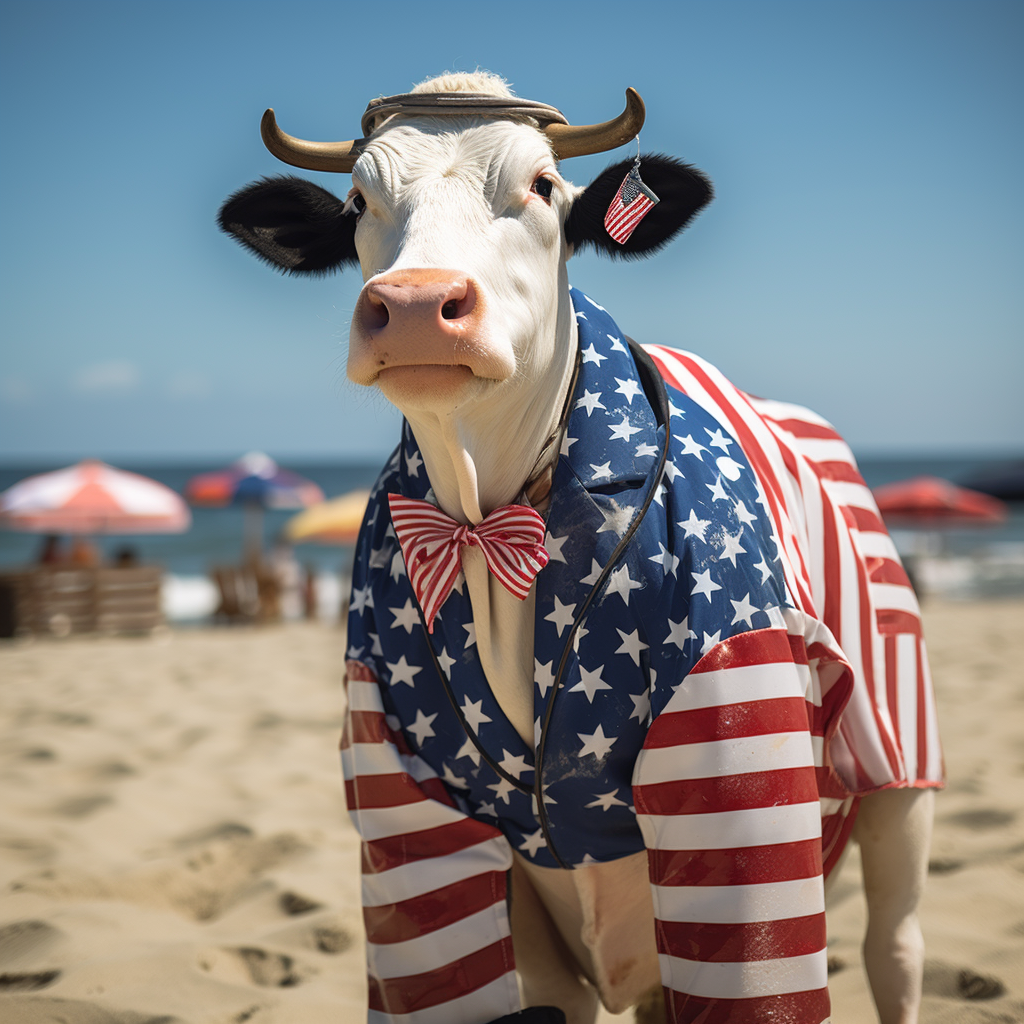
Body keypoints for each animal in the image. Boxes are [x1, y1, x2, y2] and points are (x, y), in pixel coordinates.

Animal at [218, 72, 942, 1024]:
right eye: (357, 201)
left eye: (540, 187)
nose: (414, 307)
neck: (487, 516)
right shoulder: (407, 801)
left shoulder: (733, 733)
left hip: (900, 773)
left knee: (894, 948)